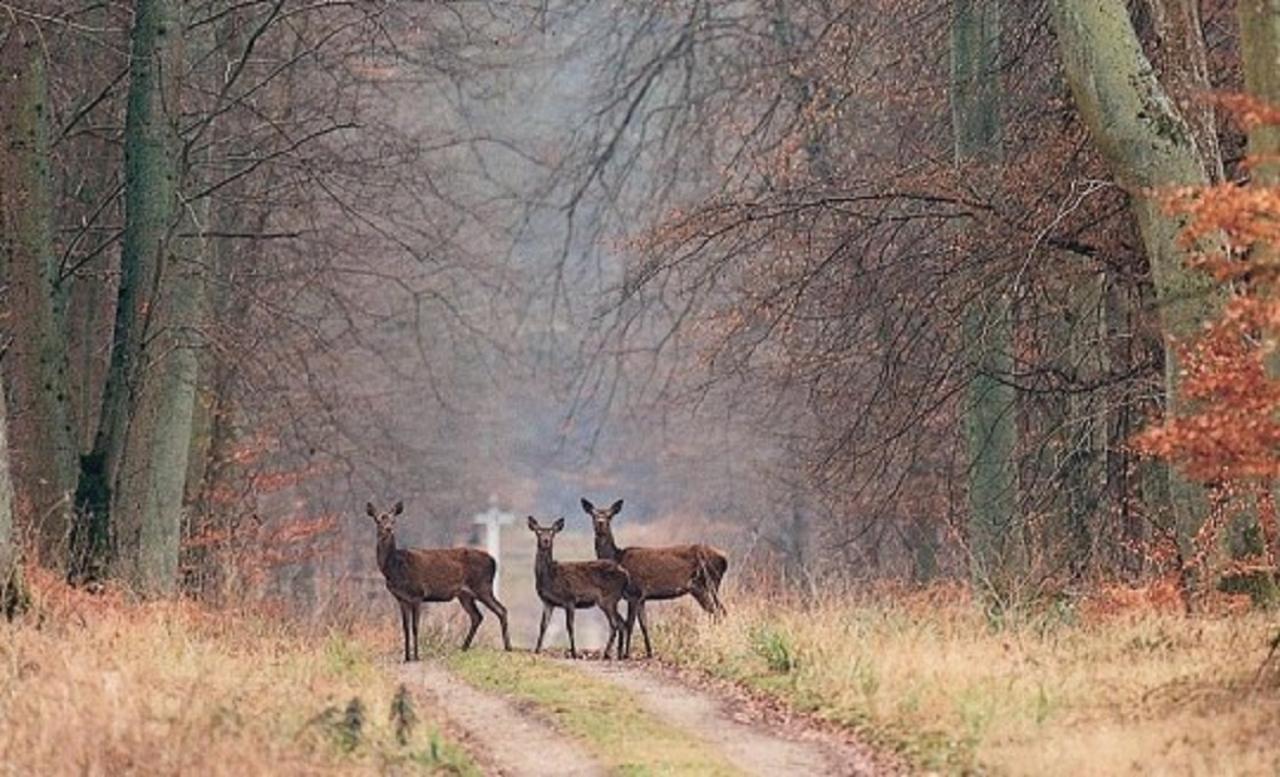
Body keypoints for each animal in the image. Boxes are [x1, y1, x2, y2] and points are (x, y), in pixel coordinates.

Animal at [366, 499, 509, 660]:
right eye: (378, 520)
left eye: (393, 520)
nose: (389, 529)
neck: (394, 568)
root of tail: (494, 561)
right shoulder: (401, 599)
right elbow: (405, 628)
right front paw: (407, 657)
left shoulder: (418, 594)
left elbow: (415, 627)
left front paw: (416, 656)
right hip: (465, 594)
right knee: (477, 616)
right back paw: (464, 648)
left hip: (482, 586)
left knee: (501, 610)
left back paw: (508, 647)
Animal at [527, 514, 632, 660]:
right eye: (538, 532)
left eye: (552, 533)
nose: (546, 540)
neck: (550, 577)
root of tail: (626, 574)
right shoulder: (548, 602)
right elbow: (543, 625)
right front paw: (537, 650)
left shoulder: (570, 598)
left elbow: (570, 626)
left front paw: (574, 653)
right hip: (611, 600)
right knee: (621, 623)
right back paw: (619, 654)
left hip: (608, 598)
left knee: (615, 624)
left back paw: (607, 653)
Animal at [583, 501, 727, 660]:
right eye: (593, 515)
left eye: (610, 516)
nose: (600, 522)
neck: (618, 558)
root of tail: (724, 558)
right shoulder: (642, 598)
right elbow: (644, 625)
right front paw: (649, 653)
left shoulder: (634, 592)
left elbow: (630, 624)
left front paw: (626, 654)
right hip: (710, 586)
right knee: (720, 611)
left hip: (704, 584)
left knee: (716, 611)